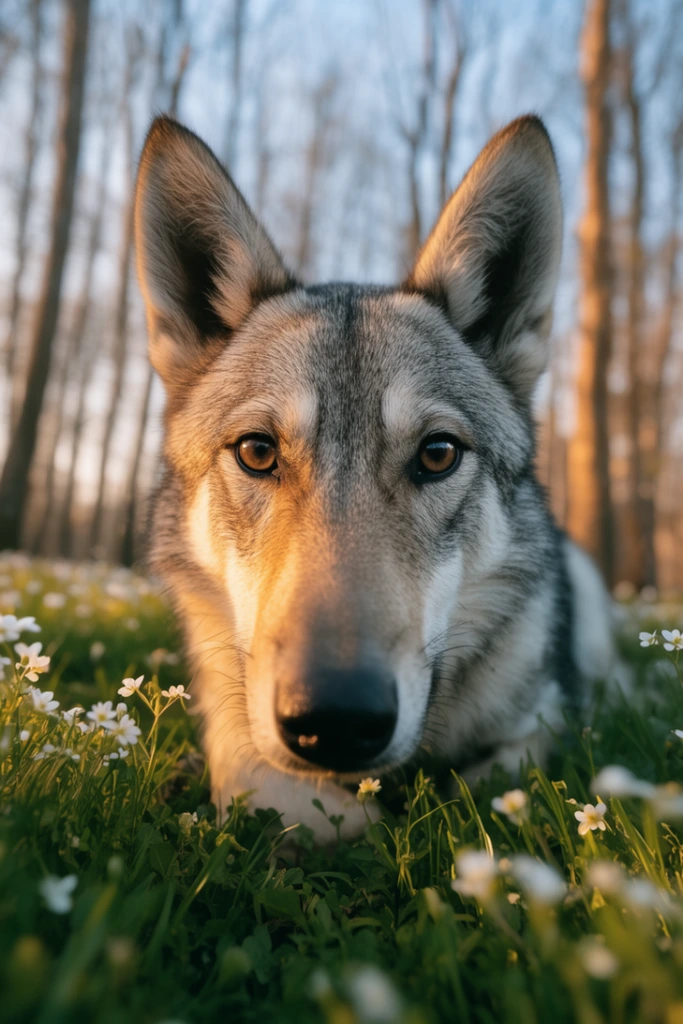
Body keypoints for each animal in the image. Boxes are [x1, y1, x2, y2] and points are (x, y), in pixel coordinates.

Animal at [134, 113, 619, 841]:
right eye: (256, 452)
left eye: (438, 454)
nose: (335, 718)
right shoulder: (231, 706)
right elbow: (255, 766)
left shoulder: (541, 724)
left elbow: (484, 795)